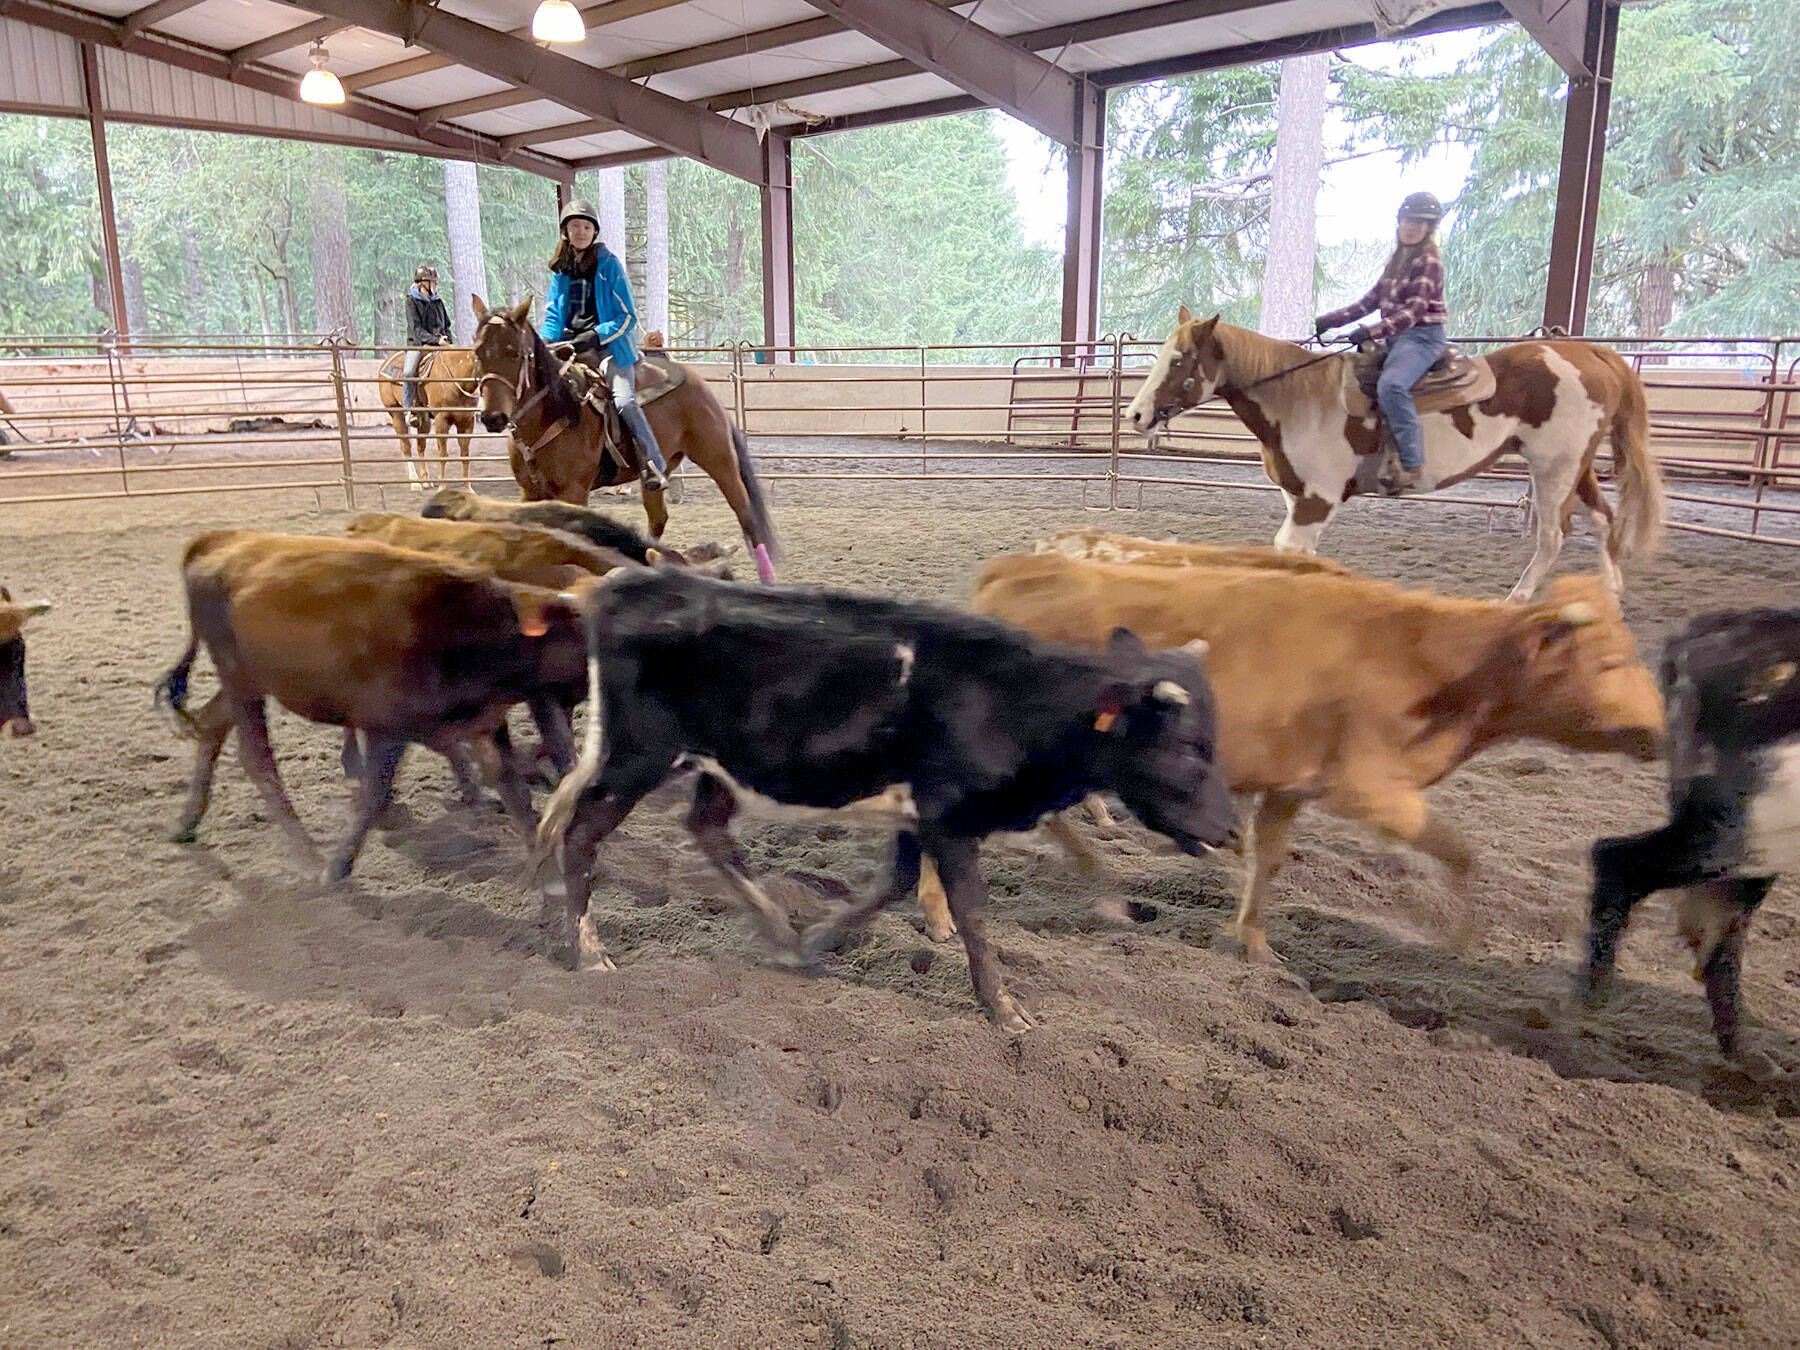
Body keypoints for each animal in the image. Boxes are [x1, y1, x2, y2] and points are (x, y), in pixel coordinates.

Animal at [153, 531, 589, 882]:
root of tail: (223, 539)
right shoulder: (386, 728)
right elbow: (375, 793)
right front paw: (338, 866)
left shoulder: (483, 723)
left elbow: (513, 789)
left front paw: (545, 865)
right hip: (240, 681)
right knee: (257, 759)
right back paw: (308, 856)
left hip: (248, 682)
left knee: (210, 724)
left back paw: (186, 823)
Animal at [535, 569, 1237, 1030]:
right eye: (1191, 747)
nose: (1231, 829)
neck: (1012, 699)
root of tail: (636, 582)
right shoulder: (951, 817)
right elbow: (974, 914)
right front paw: (1004, 1007)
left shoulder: (918, 815)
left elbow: (892, 883)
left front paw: (824, 940)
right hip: (636, 756)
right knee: (583, 835)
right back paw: (590, 953)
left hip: (718, 766)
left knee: (707, 830)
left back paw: (780, 930)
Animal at [963, 552, 1665, 964]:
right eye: (1608, 661)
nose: (1659, 731)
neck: (1437, 663)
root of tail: (1022, 566)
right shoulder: (1369, 789)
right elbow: (1461, 853)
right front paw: (1466, 938)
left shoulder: (1289, 788)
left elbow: (1269, 859)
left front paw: (1251, 940)